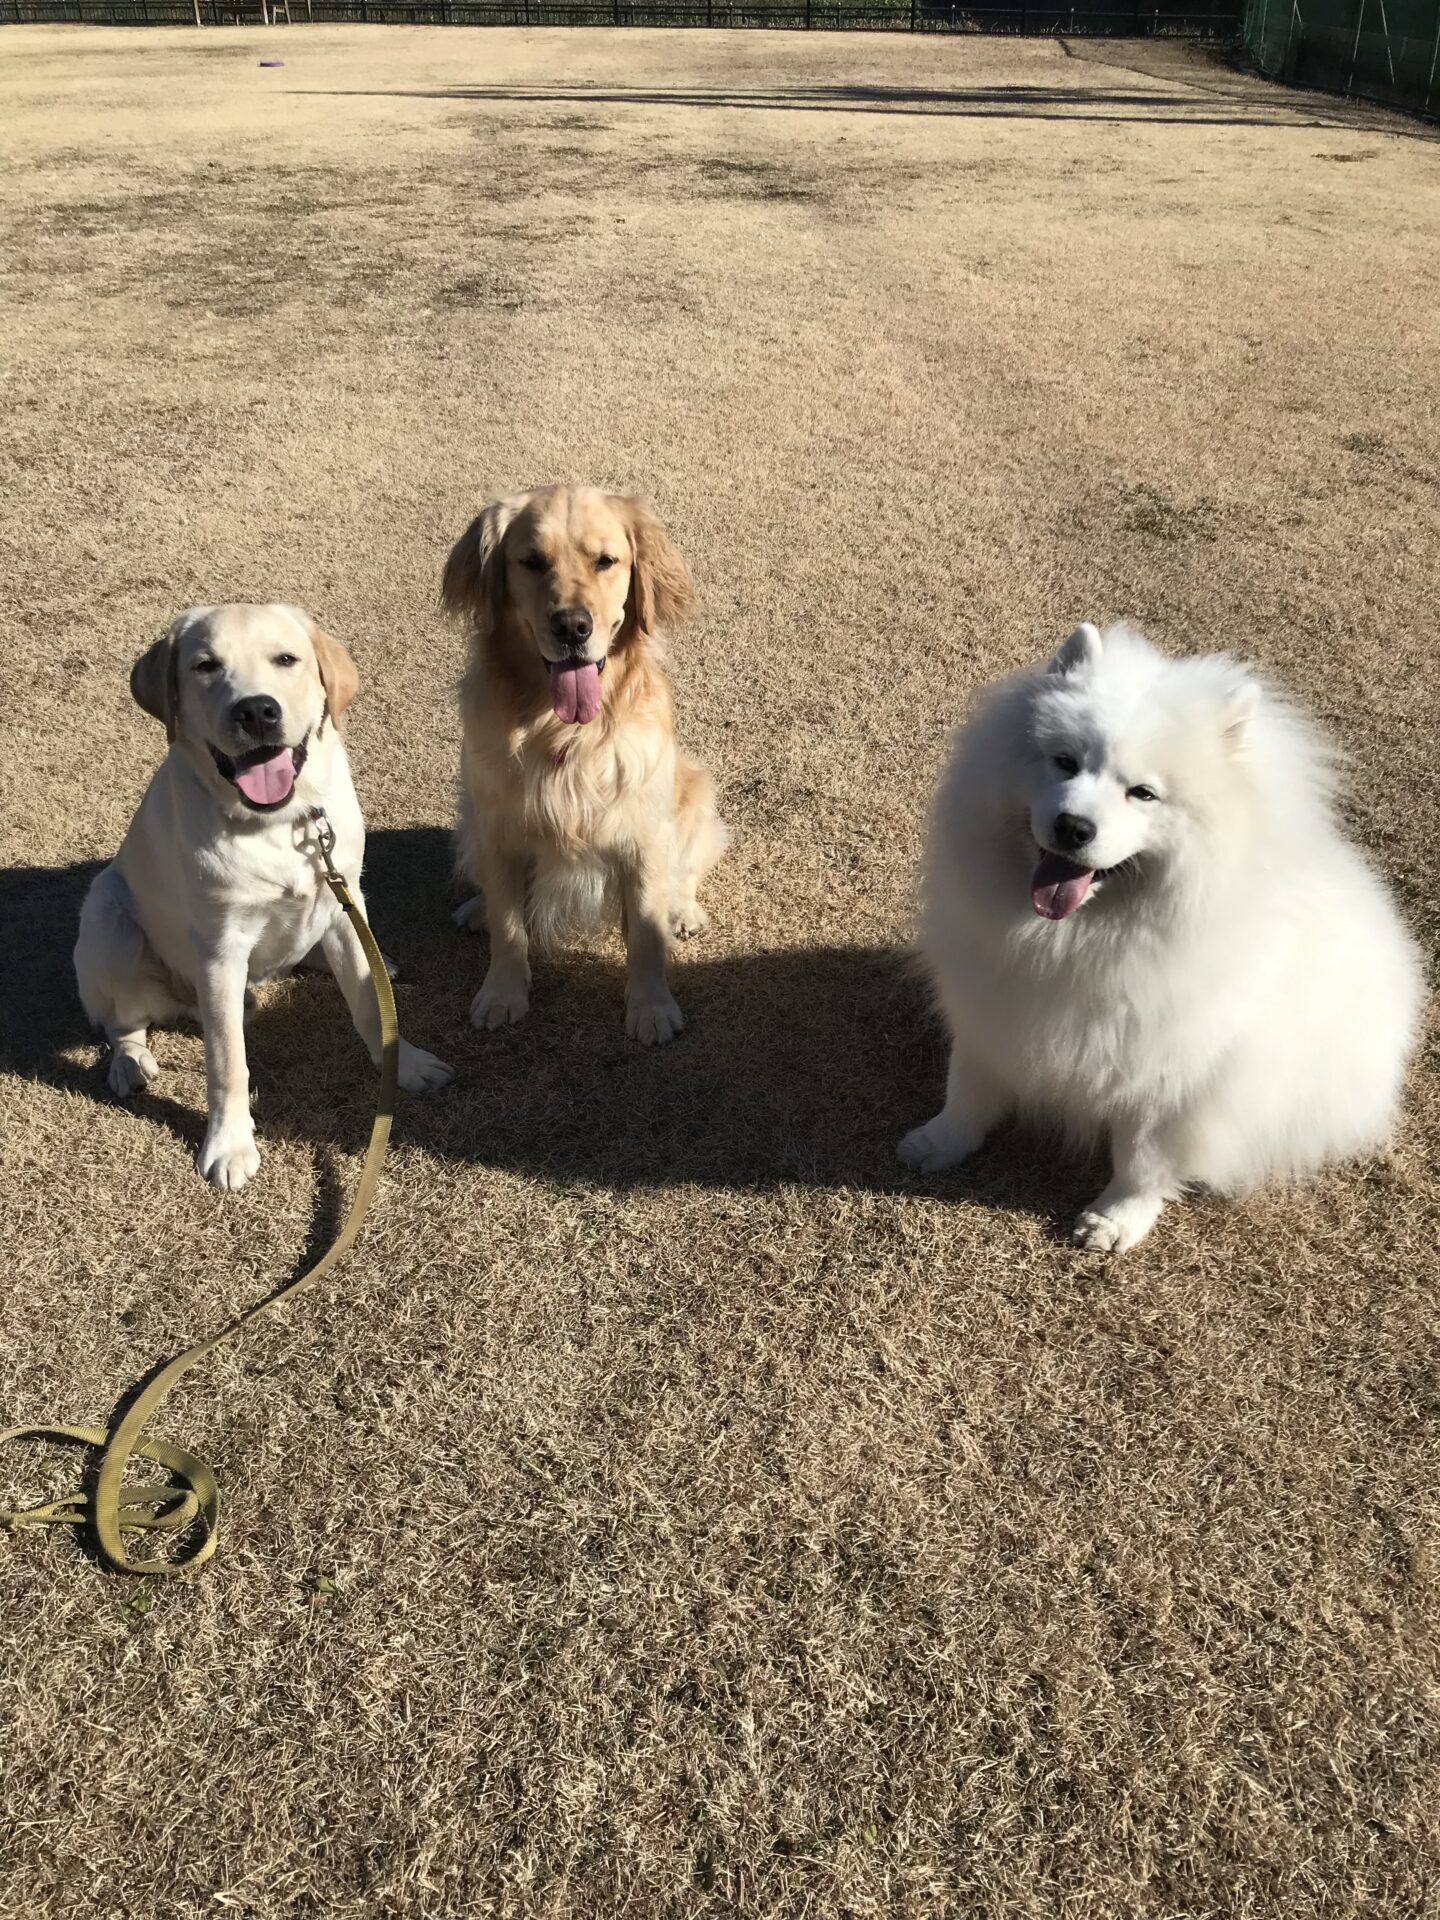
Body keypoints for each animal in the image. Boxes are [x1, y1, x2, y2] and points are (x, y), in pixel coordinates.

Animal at [74, 604, 453, 1190]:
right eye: (205, 666)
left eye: (286, 659)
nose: (255, 710)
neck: (280, 822)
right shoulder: (220, 950)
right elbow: (227, 1061)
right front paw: (230, 1145)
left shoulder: (342, 904)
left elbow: (372, 1006)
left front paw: (404, 1066)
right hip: (107, 918)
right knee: (121, 1021)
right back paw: (129, 1063)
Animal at [442, 486, 728, 1044]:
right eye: (532, 561)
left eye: (606, 561)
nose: (573, 626)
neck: (565, 733)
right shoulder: (499, 828)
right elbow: (509, 928)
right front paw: (502, 993)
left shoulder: (643, 836)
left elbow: (646, 935)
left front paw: (651, 1008)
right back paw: (476, 908)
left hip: (693, 796)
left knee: (685, 871)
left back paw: (683, 910)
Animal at [898, 621, 1423, 1252]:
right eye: (1064, 762)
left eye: (1143, 793)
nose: (1073, 827)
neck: (1074, 938)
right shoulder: (991, 1011)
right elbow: (968, 1089)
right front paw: (939, 1142)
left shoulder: (1170, 1075)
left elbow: (1144, 1159)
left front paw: (1115, 1219)